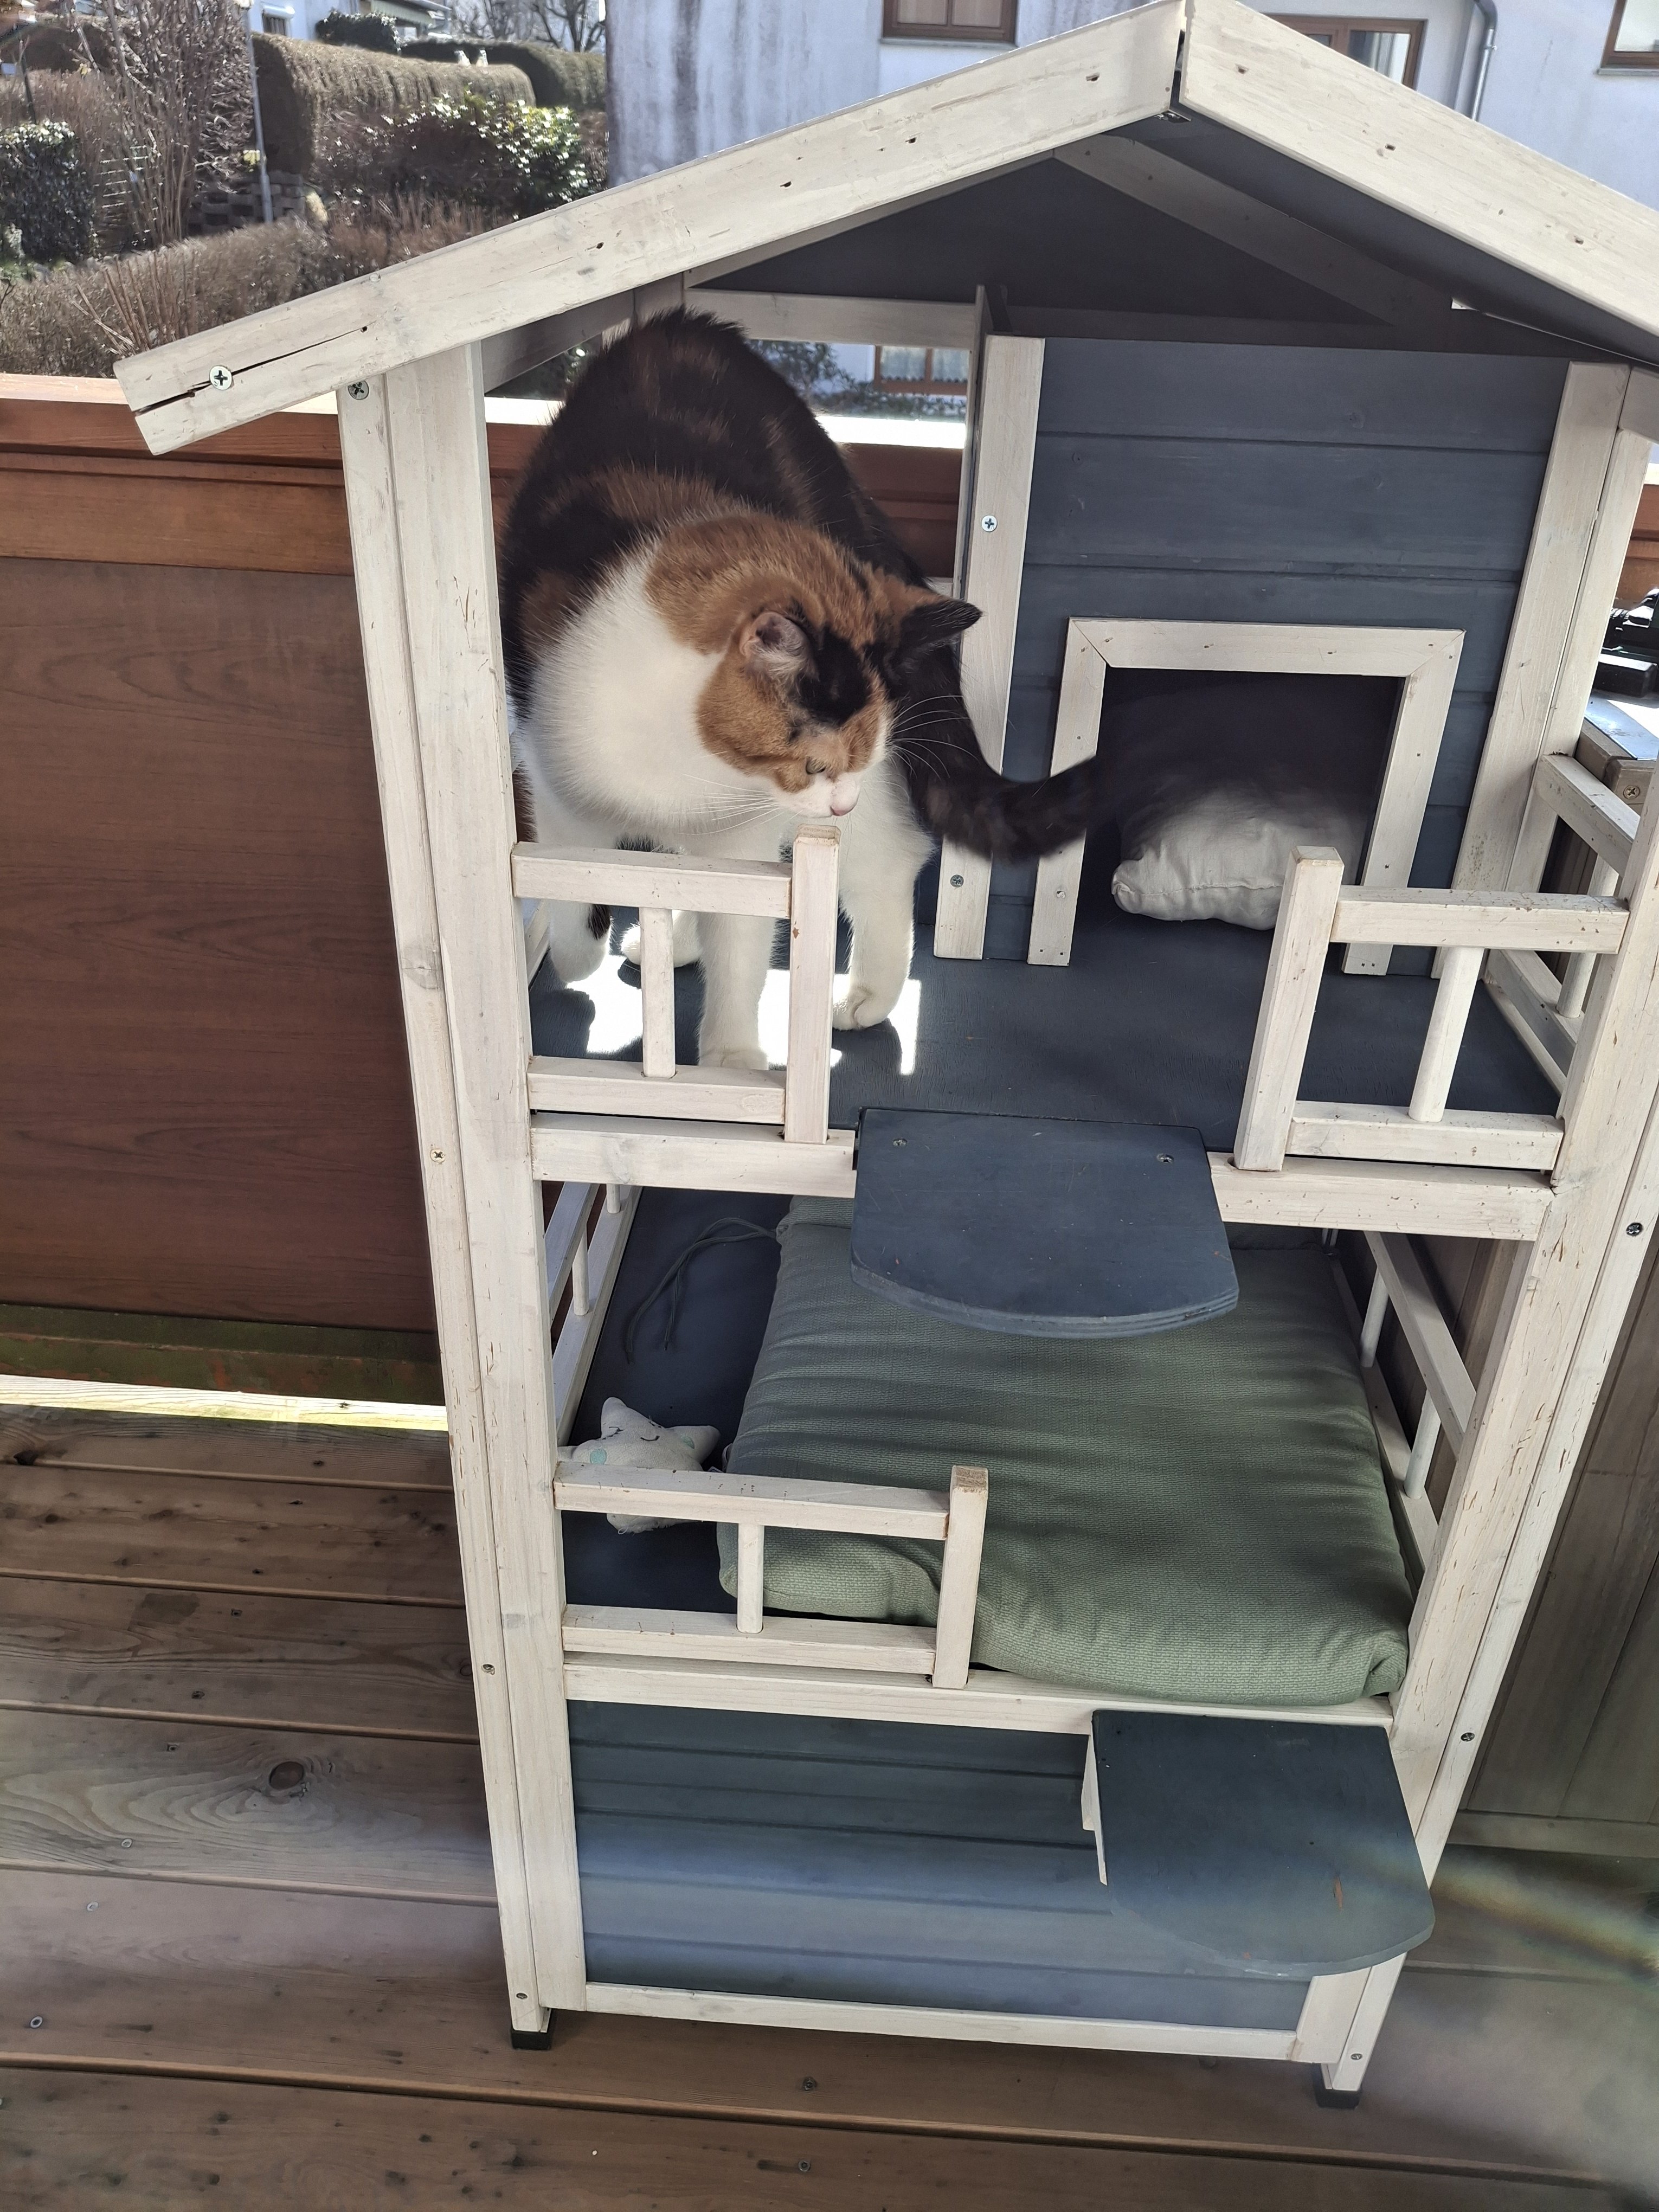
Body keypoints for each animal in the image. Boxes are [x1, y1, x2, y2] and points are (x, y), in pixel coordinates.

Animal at [499, 309, 1106, 1070]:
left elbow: (740, 937)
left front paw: (730, 1062)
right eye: (812, 764)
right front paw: (579, 949)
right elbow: (573, 887)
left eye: (851, 760)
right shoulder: (557, 788)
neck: (687, 767)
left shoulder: (748, 831)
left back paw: (869, 994)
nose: (841, 803)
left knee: (891, 857)